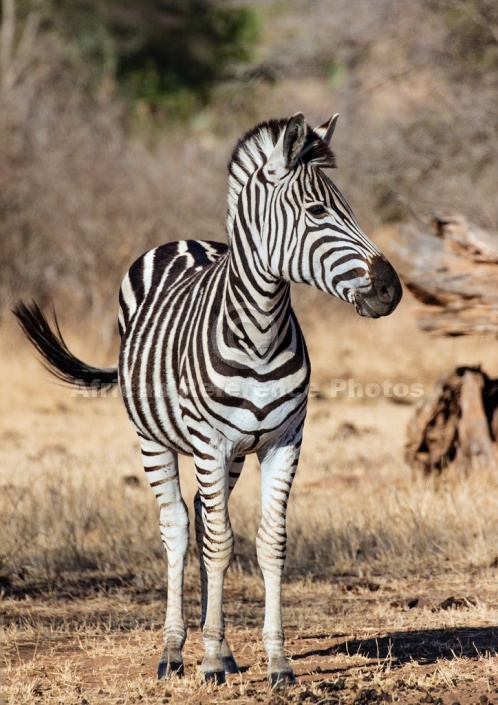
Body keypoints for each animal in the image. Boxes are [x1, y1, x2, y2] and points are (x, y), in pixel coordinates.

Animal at [15, 113, 402, 684]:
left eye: (349, 208)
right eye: (317, 211)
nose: (390, 290)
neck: (261, 331)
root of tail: (185, 241)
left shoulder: (284, 441)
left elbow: (269, 542)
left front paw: (274, 660)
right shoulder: (210, 441)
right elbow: (219, 544)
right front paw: (210, 659)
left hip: (230, 455)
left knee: (201, 519)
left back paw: (217, 647)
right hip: (158, 440)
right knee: (178, 527)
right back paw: (176, 651)